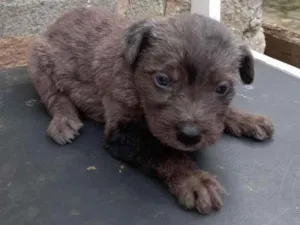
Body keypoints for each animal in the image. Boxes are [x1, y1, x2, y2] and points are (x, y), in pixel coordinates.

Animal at [28, 7, 274, 214]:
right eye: (162, 80)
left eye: (222, 88)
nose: (190, 135)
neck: (135, 79)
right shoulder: (121, 130)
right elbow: (162, 151)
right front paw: (194, 179)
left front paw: (248, 119)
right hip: (39, 62)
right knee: (55, 96)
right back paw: (64, 121)